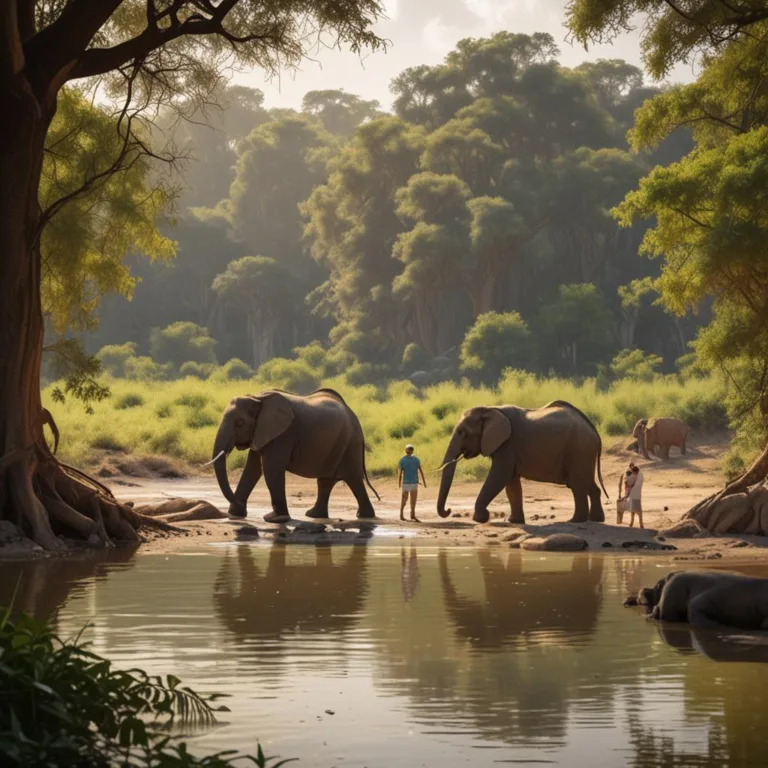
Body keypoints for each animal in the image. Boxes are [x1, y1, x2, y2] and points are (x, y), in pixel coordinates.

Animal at [210, 388, 379, 523]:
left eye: (239, 423)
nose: (236, 504)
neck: (257, 397)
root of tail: (353, 414)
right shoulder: (262, 432)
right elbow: (252, 468)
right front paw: (235, 513)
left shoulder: (283, 433)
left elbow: (271, 468)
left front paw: (275, 519)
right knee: (326, 481)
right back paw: (314, 515)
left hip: (350, 443)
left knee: (353, 479)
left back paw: (363, 516)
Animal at [436, 400, 608, 524]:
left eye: (463, 433)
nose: (449, 511)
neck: (489, 408)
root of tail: (595, 432)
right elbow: (511, 482)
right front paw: (513, 521)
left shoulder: (508, 444)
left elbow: (499, 476)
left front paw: (480, 518)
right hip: (582, 453)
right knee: (586, 483)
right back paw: (596, 519)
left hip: (579, 449)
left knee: (577, 485)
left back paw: (574, 521)